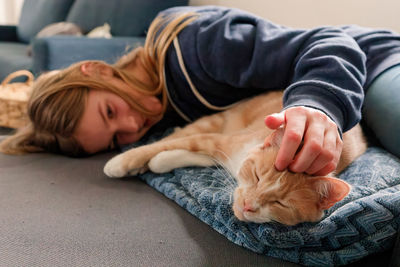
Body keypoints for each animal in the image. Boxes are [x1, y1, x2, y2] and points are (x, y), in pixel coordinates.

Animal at [104, 91, 368, 226]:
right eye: (258, 176)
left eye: (281, 204)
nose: (249, 205)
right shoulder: (220, 141)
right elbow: (170, 143)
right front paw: (121, 162)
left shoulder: (220, 152)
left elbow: (188, 155)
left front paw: (159, 161)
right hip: (214, 121)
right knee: (182, 133)